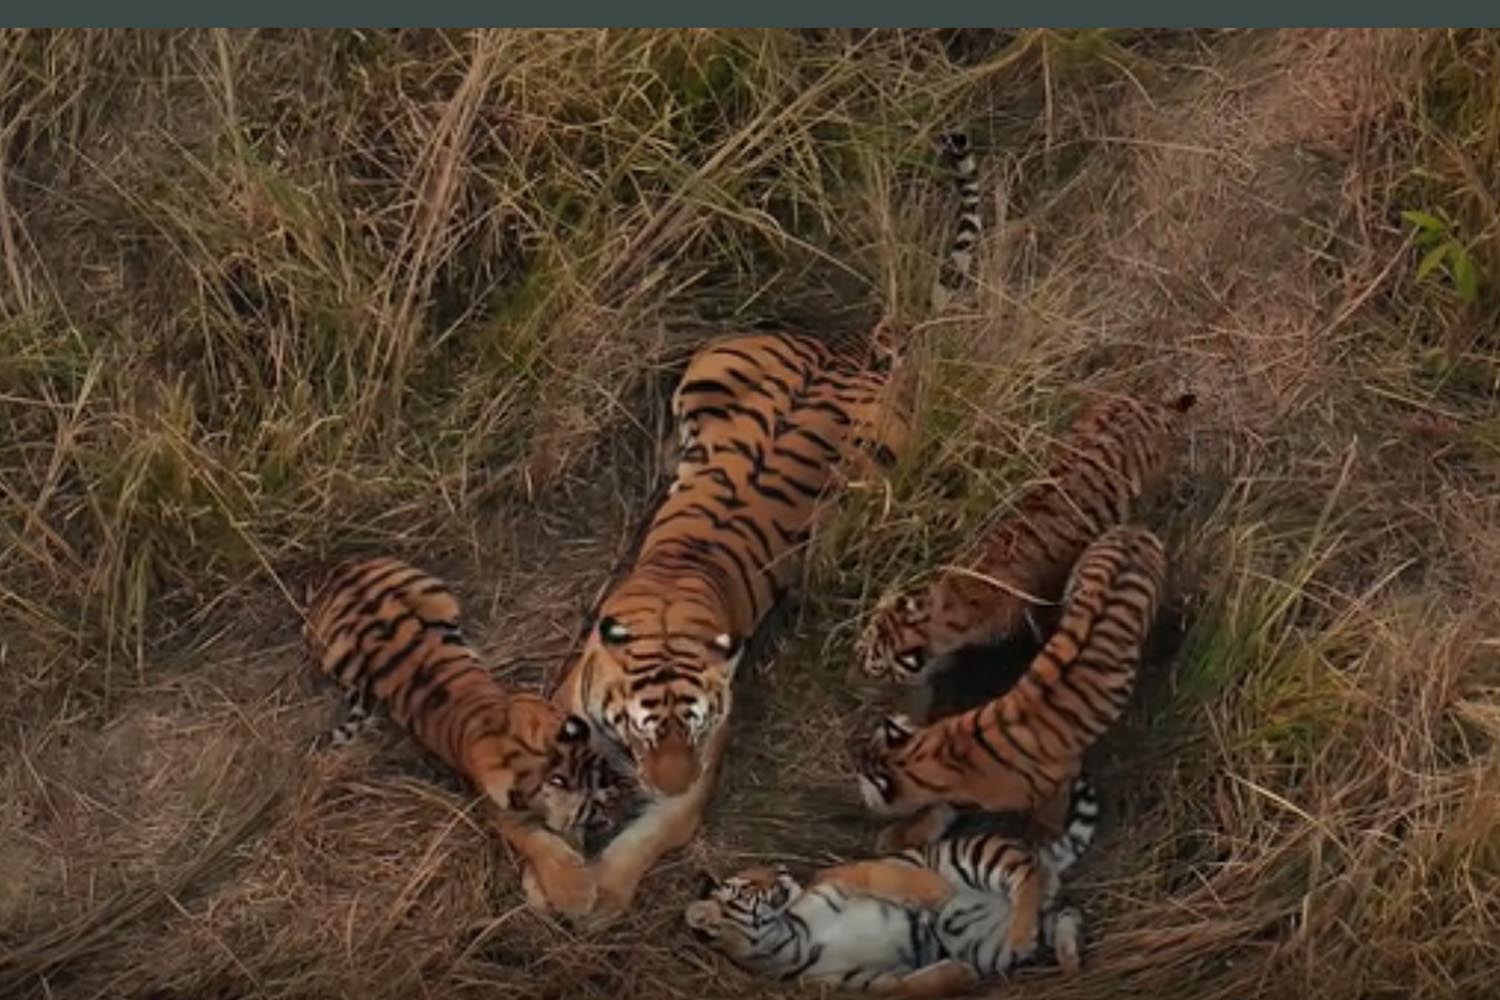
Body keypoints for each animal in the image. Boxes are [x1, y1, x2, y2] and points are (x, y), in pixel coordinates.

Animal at [302, 555, 623, 914]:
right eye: (590, 808)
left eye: (604, 776)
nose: (618, 803)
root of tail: (336, 570)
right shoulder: (499, 809)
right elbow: (537, 841)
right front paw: (574, 892)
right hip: (338, 656)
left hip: (435, 599)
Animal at [528, 133, 989, 923]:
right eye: (643, 728)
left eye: (696, 728)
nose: (669, 780)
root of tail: (858, 351)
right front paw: (555, 879)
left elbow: (641, 847)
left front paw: (596, 896)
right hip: (709, 371)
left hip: (877, 456)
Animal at [684, 775, 1099, 997]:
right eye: (747, 884)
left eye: (764, 869)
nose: (782, 869)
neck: (785, 940)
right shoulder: (862, 982)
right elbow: (904, 989)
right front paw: (959, 974)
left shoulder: (840, 878)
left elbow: (889, 875)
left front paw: (938, 893)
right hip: (994, 945)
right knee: (1064, 911)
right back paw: (1069, 956)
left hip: (975, 855)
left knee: (1026, 874)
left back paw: (1025, 927)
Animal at [856, 525, 1166, 851]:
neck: (947, 752)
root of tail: (1134, 531)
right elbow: (941, 809)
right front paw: (900, 836)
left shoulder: (1060, 780)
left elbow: (1048, 816)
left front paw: (1042, 840)